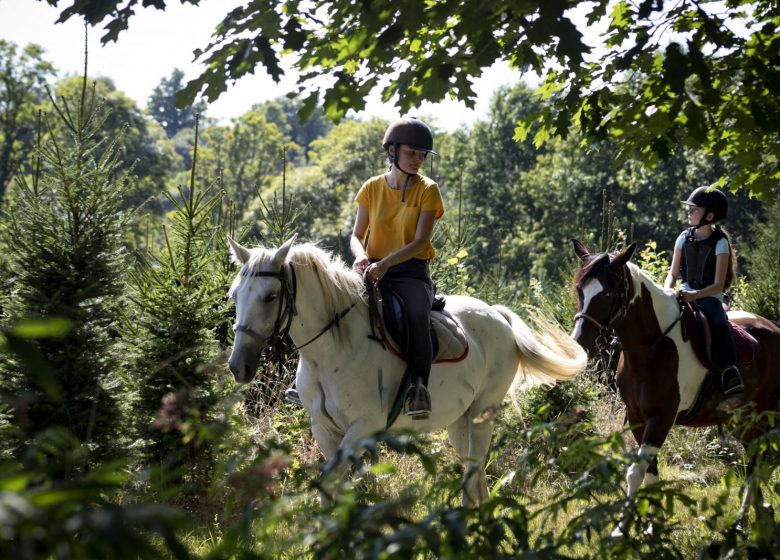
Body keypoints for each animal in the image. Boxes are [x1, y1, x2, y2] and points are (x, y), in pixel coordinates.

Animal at [227, 234, 584, 506]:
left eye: (270, 296)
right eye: (234, 295)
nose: (238, 367)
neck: (329, 352)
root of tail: (497, 314)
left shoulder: (363, 427)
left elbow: (333, 480)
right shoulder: (324, 429)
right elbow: (333, 487)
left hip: (483, 413)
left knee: (474, 472)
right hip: (460, 422)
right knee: (476, 476)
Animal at [568, 240, 776, 528]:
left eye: (608, 293)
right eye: (580, 290)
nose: (579, 343)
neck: (653, 346)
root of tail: (774, 328)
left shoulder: (661, 419)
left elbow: (635, 473)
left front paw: (622, 529)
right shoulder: (637, 418)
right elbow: (649, 473)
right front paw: (652, 525)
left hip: (765, 413)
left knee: (761, 460)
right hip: (742, 419)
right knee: (755, 458)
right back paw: (744, 516)